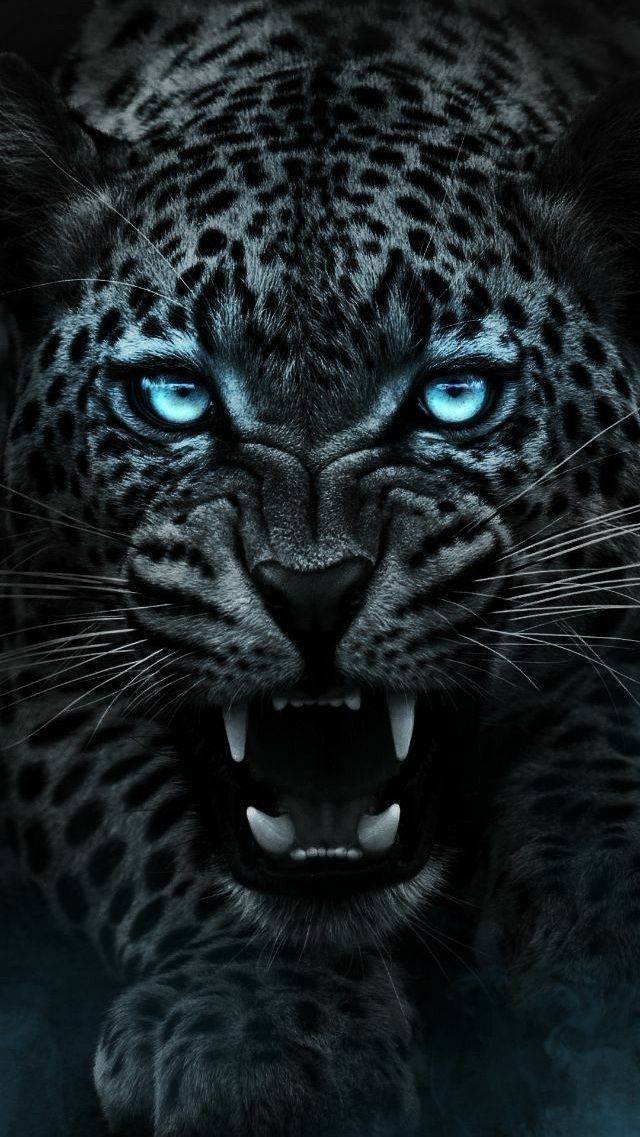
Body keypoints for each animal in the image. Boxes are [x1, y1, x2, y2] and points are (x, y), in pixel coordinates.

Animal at [3, 0, 640, 1133]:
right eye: (173, 397)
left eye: (454, 398)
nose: (311, 591)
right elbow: (133, 806)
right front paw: (267, 1033)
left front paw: (602, 915)